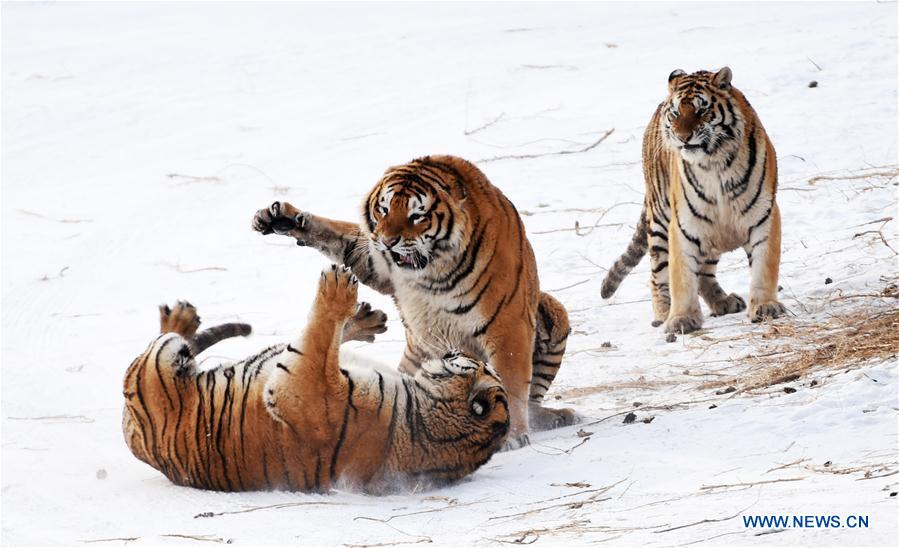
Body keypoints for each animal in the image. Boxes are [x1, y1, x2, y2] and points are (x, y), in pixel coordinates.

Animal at [122, 266, 510, 492]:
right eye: (484, 365)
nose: (460, 351)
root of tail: (136, 442)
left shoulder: (304, 392)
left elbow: (318, 343)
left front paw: (338, 289)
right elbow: (323, 340)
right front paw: (353, 307)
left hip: (160, 359)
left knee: (167, 342)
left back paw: (179, 320)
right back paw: (367, 320)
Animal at [253, 154, 576, 450]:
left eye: (417, 216)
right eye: (383, 209)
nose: (388, 241)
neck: (430, 270)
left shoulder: (507, 324)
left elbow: (510, 379)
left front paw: (512, 435)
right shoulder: (374, 260)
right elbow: (336, 234)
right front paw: (281, 218)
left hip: (554, 311)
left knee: (533, 401)